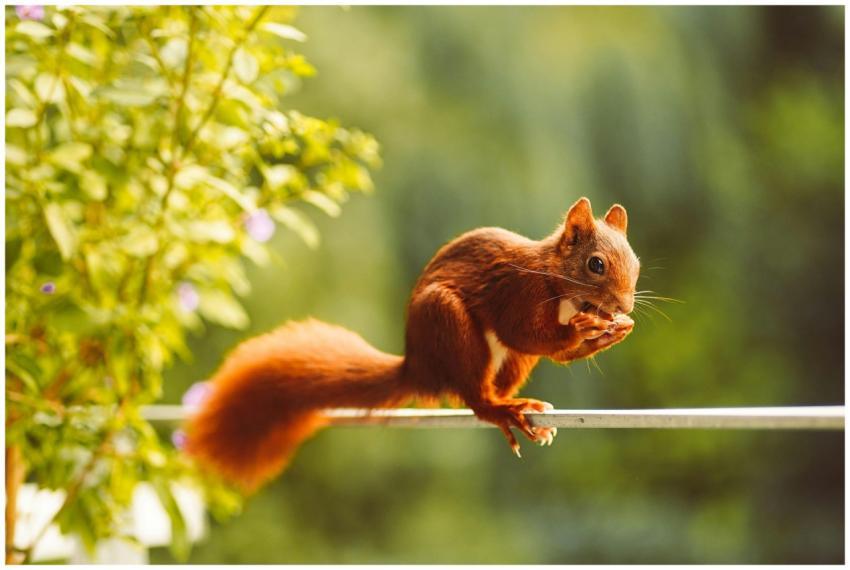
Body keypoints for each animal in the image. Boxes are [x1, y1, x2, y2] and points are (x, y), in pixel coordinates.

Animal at [185, 197, 640, 492]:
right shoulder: (518, 292)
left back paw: (520, 407)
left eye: (635, 263)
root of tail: (419, 367)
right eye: (595, 264)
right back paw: (504, 409)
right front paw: (585, 331)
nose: (624, 305)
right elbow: (525, 333)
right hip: (448, 323)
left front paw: (613, 330)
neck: (560, 287)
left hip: (511, 362)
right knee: (476, 398)